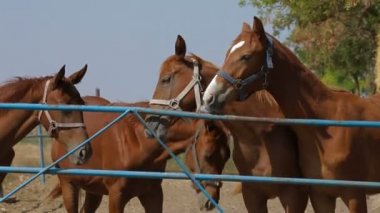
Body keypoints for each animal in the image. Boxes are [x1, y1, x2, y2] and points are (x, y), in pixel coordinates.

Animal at [49, 96, 230, 211]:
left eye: (227, 156)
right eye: (209, 155)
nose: (211, 201)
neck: (137, 142)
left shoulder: (152, 195)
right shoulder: (116, 196)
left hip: (93, 190)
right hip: (69, 185)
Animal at [203, 17, 380, 213]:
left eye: (246, 56)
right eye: (228, 54)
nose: (209, 97)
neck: (328, 127)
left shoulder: (355, 196)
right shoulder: (321, 196)